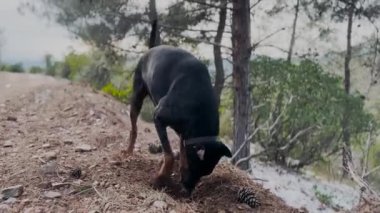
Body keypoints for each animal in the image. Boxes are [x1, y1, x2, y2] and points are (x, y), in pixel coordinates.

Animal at [124, 21, 232, 195]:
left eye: (205, 173)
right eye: (196, 168)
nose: (188, 191)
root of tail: (152, 49)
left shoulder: (185, 134)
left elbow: (180, 154)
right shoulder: (158, 117)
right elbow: (169, 155)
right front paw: (160, 179)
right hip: (137, 96)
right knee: (134, 127)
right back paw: (128, 151)